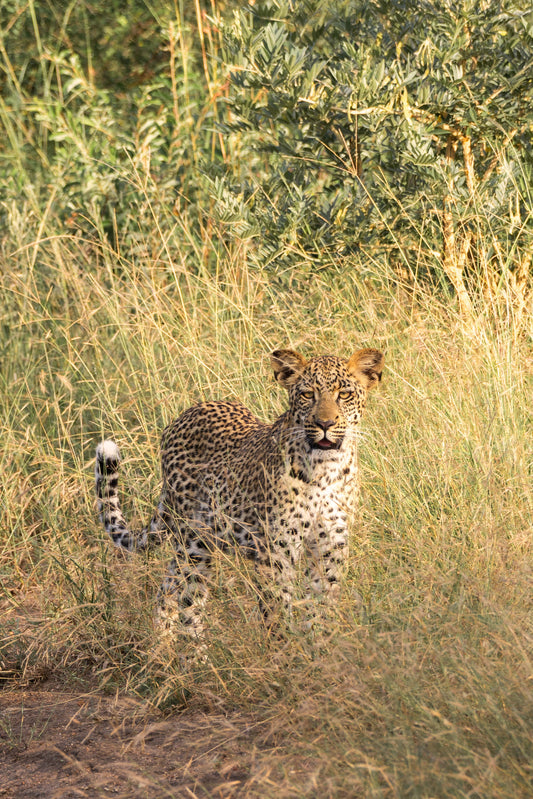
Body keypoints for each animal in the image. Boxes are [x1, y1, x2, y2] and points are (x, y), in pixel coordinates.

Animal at [95, 347, 384, 639]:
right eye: (306, 394)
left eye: (344, 394)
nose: (324, 423)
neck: (325, 470)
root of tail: (181, 417)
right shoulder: (276, 551)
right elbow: (277, 612)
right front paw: (284, 649)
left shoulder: (330, 547)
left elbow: (322, 609)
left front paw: (319, 646)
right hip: (194, 542)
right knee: (189, 602)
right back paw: (192, 650)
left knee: (167, 588)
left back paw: (162, 644)